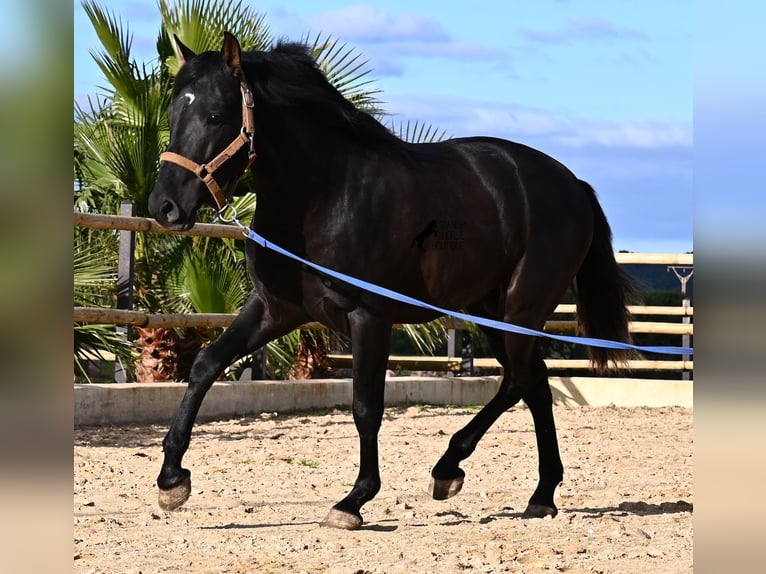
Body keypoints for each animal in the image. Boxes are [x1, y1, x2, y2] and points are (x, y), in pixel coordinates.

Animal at [148, 35, 636, 532]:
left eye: (215, 115)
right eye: (173, 113)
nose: (164, 206)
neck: (324, 194)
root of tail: (573, 185)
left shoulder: (369, 317)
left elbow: (366, 406)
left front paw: (353, 500)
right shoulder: (275, 309)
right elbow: (205, 365)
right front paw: (172, 480)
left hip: (521, 309)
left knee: (519, 380)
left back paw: (451, 469)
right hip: (489, 313)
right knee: (534, 383)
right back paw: (538, 494)